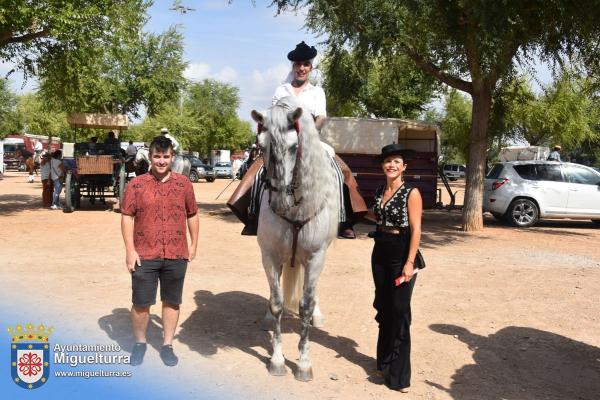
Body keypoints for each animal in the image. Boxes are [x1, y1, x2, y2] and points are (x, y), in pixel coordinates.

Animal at [251, 97, 340, 382]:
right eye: (261, 146)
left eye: (294, 146)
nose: (279, 200)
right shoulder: (269, 255)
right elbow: (277, 302)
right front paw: (277, 360)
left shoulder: (316, 256)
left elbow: (306, 306)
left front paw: (303, 363)